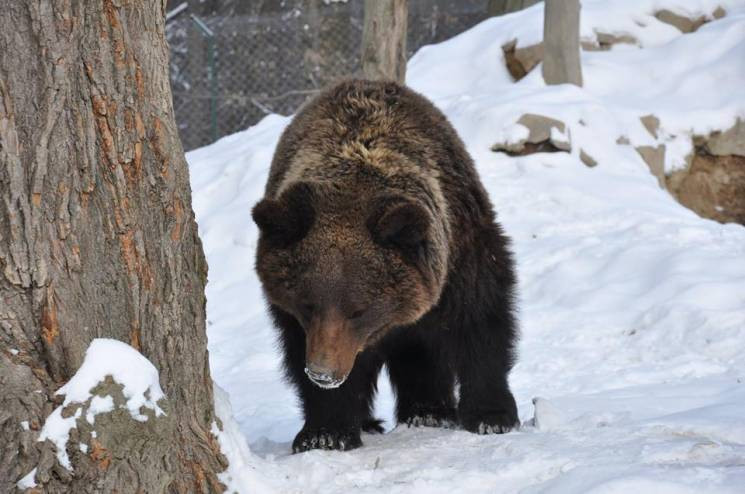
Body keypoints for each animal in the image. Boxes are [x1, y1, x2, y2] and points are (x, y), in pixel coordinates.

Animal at [250, 79, 516, 454]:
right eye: (308, 304)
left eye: (358, 310)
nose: (323, 373)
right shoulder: (293, 315)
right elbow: (302, 353)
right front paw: (326, 432)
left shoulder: (461, 254)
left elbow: (479, 323)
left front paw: (492, 415)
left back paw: (429, 411)